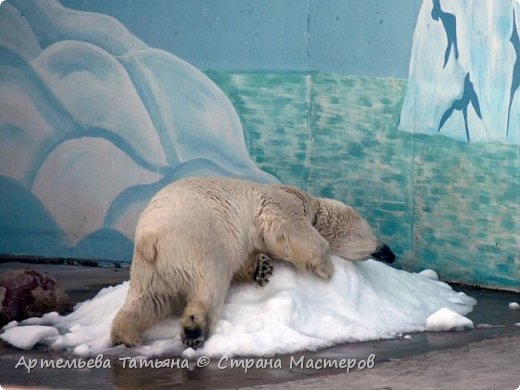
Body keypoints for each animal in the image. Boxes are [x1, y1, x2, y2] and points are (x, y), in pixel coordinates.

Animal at [109, 176, 394, 348]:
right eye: (373, 235)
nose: (390, 252)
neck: (307, 202)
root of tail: (151, 236)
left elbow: (248, 258)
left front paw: (262, 269)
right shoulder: (280, 204)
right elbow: (288, 228)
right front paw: (325, 267)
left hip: (150, 269)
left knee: (150, 300)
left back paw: (125, 335)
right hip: (198, 240)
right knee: (210, 282)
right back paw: (194, 328)